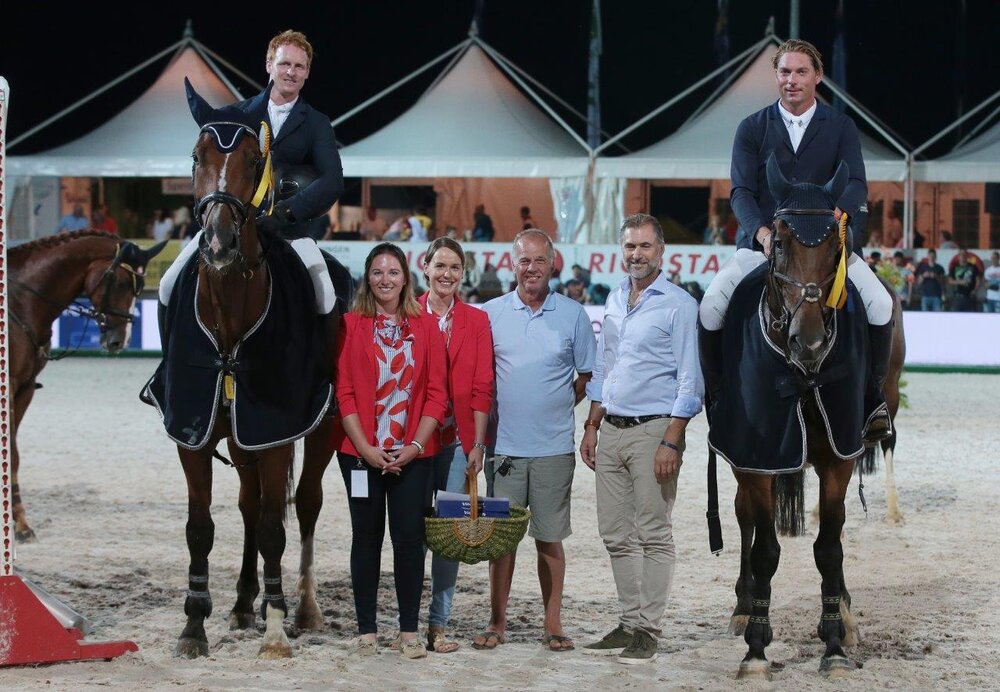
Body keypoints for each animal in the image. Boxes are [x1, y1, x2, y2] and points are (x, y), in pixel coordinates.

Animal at [7, 231, 165, 543]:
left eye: (139, 289)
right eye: (119, 282)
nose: (119, 340)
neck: (20, 303)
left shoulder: (25, 389)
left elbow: (14, 456)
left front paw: (20, 522)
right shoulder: (9, 387)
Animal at [141, 80, 339, 660]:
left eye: (255, 161)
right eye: (195, 156)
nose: (219, 242)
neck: (230, 308)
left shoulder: (273, 431)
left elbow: (277, 526)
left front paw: (275, 630)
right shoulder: (197, 432)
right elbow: (201, 527)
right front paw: (194, 625)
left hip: (320, 429)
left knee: (306, 506)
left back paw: (301, 609)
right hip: (237, 434)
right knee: (251, 504)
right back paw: (244, 602)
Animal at [704, 156, 906, 679]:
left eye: (837, 248)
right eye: (778, 242)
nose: (809, 342)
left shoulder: (839, 455)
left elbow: (828, 548)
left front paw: (833, 643)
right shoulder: (760, 457)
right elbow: (765, 549)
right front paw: (756, 649)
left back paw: (846, 613)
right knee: (744, 520)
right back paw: (743, 607)